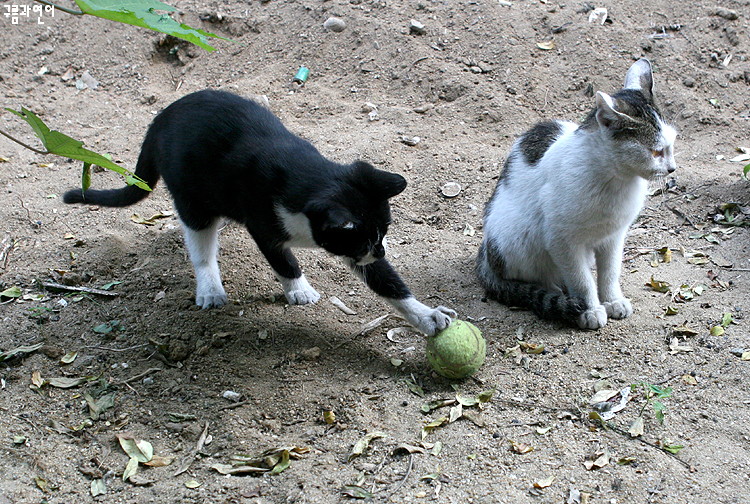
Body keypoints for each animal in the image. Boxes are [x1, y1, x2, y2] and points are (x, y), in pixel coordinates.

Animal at [64, 89, 456, 334]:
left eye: (384, 233)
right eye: (365, 240)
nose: (381, 251)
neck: (306, 177)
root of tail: (160, 119)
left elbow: (388, 282)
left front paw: (426, 316)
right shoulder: (262, 223)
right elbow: (283, 259)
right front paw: (299, 289)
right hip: (191, 196)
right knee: (200, 241)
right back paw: (210, 287)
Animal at [478, 59, 680, 328]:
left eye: (671, 146)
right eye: (656, 152)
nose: (672, 168)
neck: (616, 181)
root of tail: (486, 251)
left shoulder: (614, 236)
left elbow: (610, 272)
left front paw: (613, 300)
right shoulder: (562, 240)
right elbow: (581, 279)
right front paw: (590, 309)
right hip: (517, 237)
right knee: (532, 276)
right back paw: (554, 293)